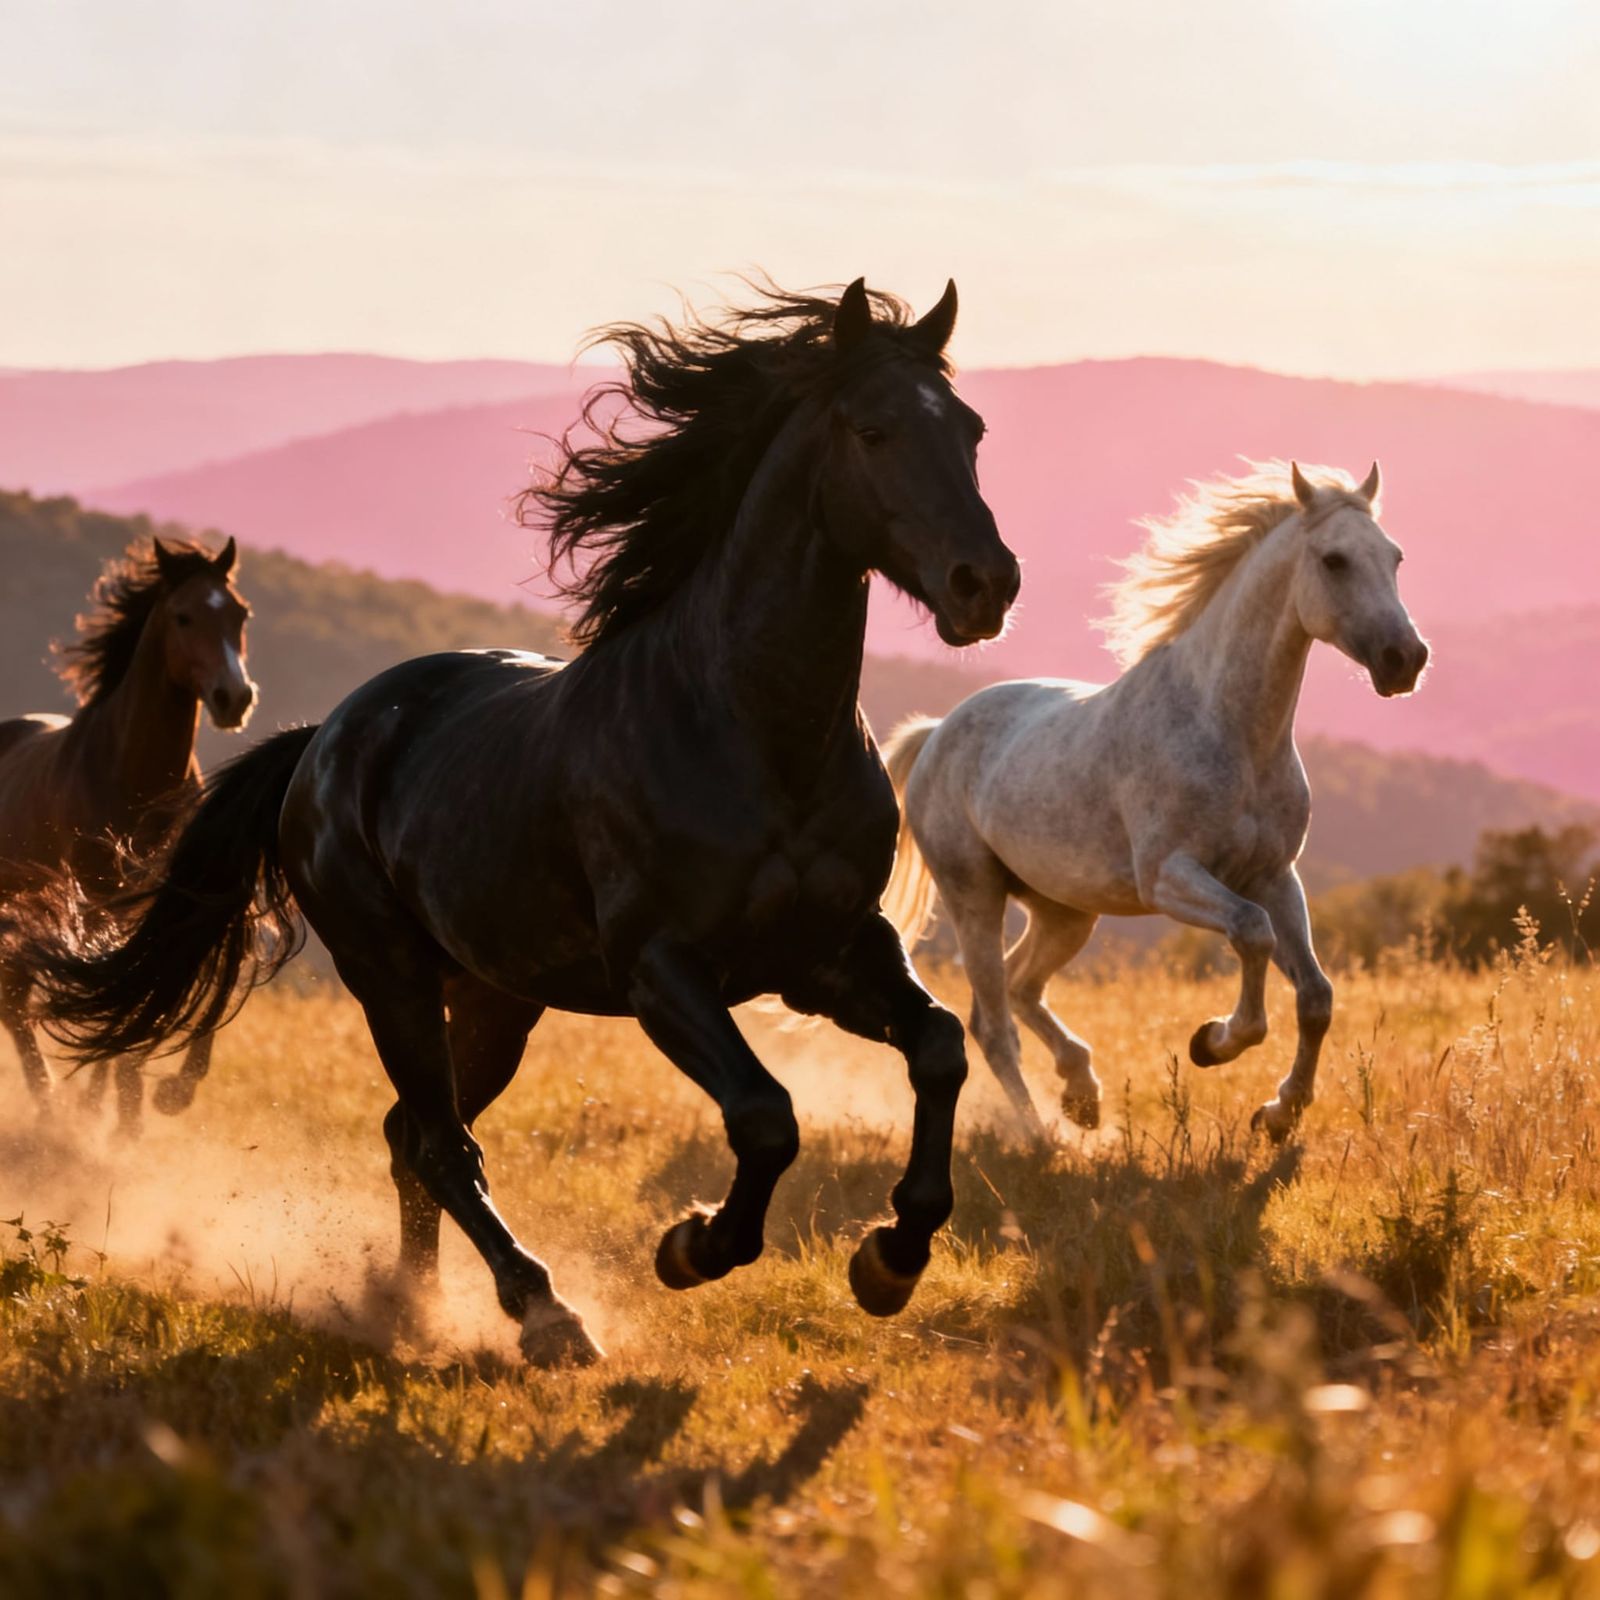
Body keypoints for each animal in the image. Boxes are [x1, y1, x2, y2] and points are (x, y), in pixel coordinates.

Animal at [0, 536, 255, 1135]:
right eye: (183, 616)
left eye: (239, 614)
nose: (234, 697)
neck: (132, 776)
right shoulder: (95, 900)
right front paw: (128, 1109)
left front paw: (158, 1096)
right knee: (15, 1001)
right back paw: (52, 1105)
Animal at [882, 461, 1428, 1143]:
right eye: (1334, 560)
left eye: (1396, 557)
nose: (1405, 660)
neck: (1229, 729)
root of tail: (935, 734)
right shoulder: (1169, 877)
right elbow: (1252, 933)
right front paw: (1214, 1043)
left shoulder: (1275, 876)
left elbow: (1316, 995)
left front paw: (1278, 1114)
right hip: (973, 895)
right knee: (993, 1021)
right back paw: (1042, 1136)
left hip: (1065, 910)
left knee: (1021, 984)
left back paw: (1082, 1094)